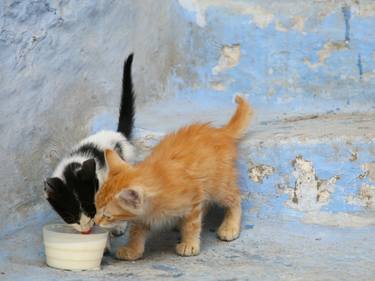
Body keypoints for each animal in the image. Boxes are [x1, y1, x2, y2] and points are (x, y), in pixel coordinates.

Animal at [94, 95, 253, 260]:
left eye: (107, 215)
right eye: (95, 207)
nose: (95, 221)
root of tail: (220, 132)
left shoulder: (193, 198)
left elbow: (192, 224)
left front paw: (189, 244)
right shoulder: (144, 215)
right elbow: (137, 231)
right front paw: (132, 249)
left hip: (219, 184)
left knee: (235, 198)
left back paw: (230, 226)